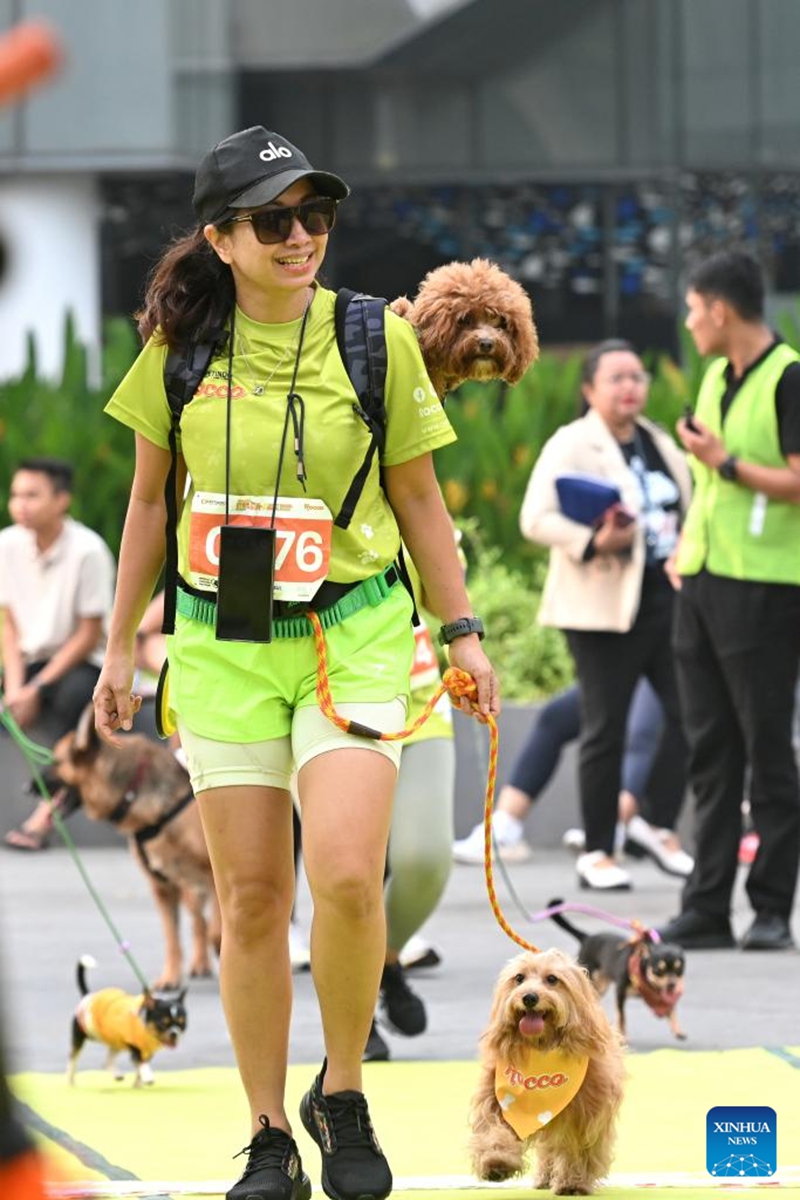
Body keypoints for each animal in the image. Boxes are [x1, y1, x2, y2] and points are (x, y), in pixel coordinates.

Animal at [49, 700, 219, 988]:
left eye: (56, 761)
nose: (27, 787)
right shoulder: (162, 887)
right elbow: (172, 937)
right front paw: (170, 977)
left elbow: (220, 925)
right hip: (187, 887)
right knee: (198, 921)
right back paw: (200, 963)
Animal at [470, 950, 623, 1195]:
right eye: (519, 978)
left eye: (552, 979)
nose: (529, 997)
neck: (541, 1047)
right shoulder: (497, 1098)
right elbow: (492, 1129)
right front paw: (496, 1162)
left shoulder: (584, 1115)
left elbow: (577, 1149)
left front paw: (573, 1182)